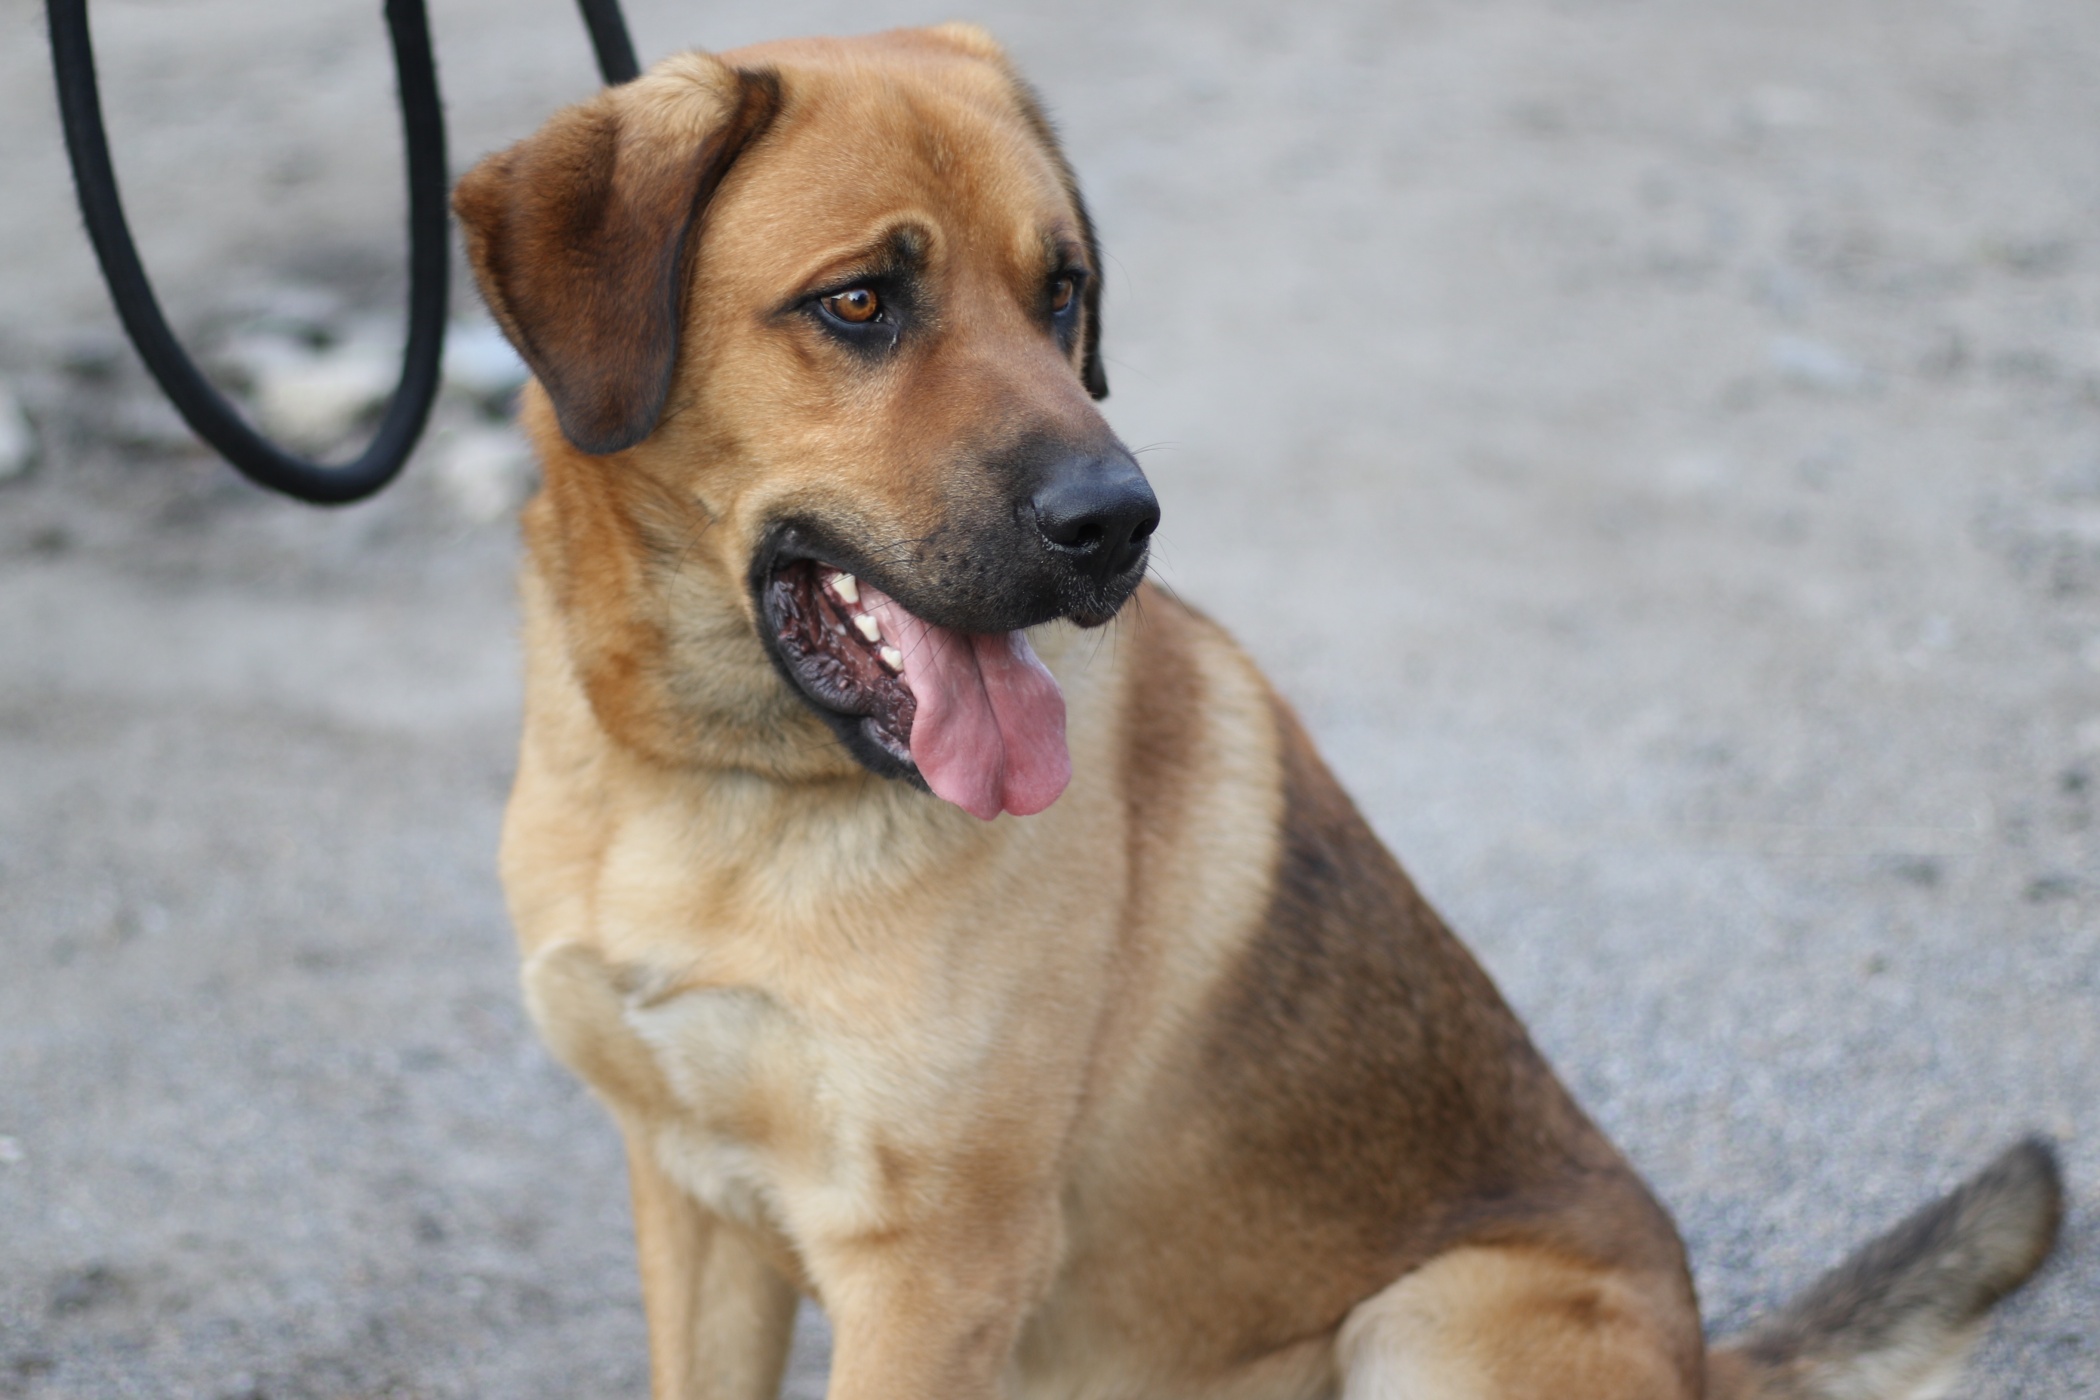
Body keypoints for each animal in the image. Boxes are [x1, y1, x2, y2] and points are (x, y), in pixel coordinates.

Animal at [453, 25, 2063, 1399]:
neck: (718, 782)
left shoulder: (932, 1275)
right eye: (860, 301)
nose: (1120, 523)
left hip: (1436, 1317)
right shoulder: (695, 1204)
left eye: (1061, 291)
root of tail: (1698, 1358)